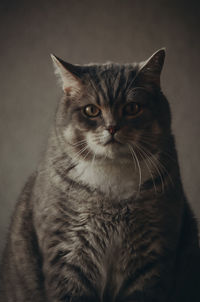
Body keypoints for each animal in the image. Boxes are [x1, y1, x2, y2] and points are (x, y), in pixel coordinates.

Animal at [0, 48, 200, 300]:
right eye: (91, 110)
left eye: (132, 108)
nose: (112, 127)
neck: (112, 183)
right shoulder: (67, 252)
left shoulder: (152, 252)